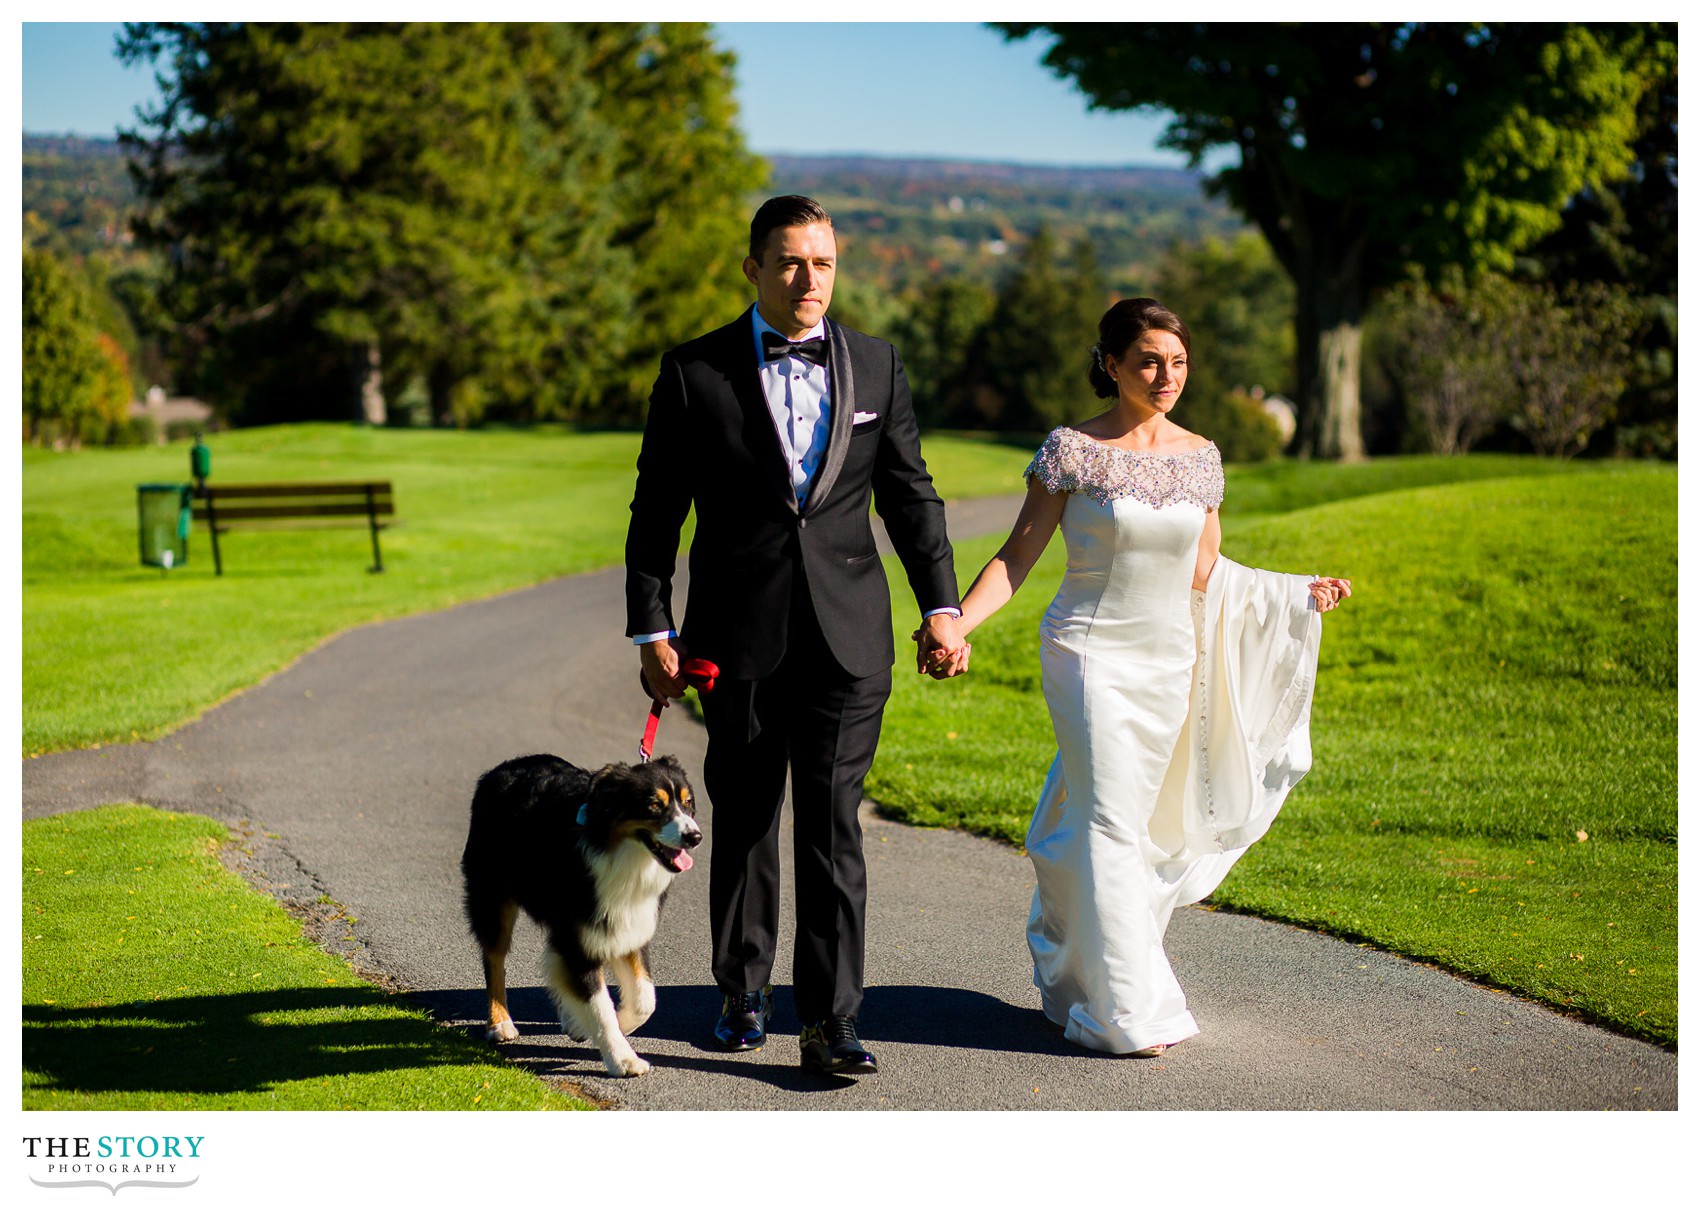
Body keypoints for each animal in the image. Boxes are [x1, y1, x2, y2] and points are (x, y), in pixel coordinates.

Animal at [459, 751, 697, 1074]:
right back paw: (500, 1022)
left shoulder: (627, 925)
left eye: (687, 802)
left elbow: (645, 999)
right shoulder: (580, 939)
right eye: (654, 805)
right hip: (493, 898)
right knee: (494, 960)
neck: (621, 854)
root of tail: (505, 766)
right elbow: (601, 1006)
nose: (695, 836)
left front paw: (599, 1026)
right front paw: (622, 1058)